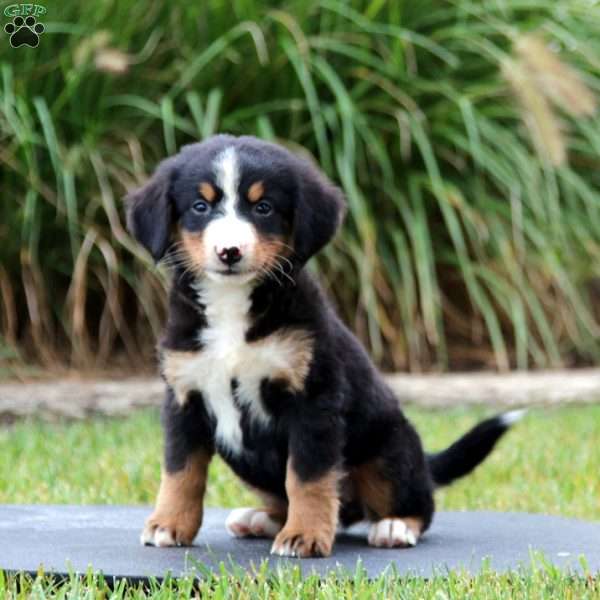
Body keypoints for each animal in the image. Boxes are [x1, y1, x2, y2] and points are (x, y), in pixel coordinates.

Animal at [126, 135, 520, 556]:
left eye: (263, 208)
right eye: (200, 206)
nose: (229, 252)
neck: (231, 308)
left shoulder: (313, 399)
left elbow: (307, 477)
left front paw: (304, 535)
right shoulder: (184, 396)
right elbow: (181, 471)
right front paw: (168, 525)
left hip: (389, 448)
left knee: (417, 502)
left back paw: (394, 526)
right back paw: (259, 519)